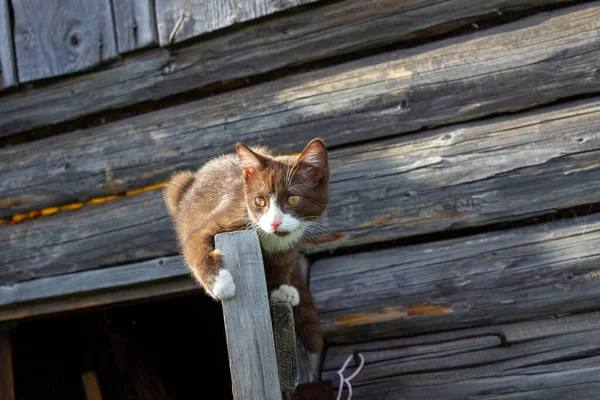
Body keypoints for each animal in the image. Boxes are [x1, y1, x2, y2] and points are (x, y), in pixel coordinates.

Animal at [164, 139, 330, 352]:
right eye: (259, 200)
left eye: (293, 199)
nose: (275, 223)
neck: (270, 237)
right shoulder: (226, 215)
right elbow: (195, 245)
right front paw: (220, 283)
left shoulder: (288, 243)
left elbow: (281, 262)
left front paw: (279, 289)